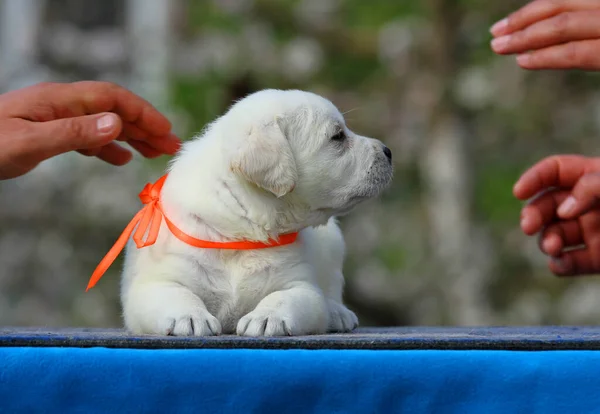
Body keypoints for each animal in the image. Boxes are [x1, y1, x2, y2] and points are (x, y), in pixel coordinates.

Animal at [121, 89, 394, 334]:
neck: (240, 231)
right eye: (338, 136)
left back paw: (338, 313)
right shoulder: (158, 281)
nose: (388, 151)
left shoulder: (300, 286)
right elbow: (176, 294)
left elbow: (285, 298)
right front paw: (189, 316)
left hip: (333, 243)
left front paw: (266, 318)